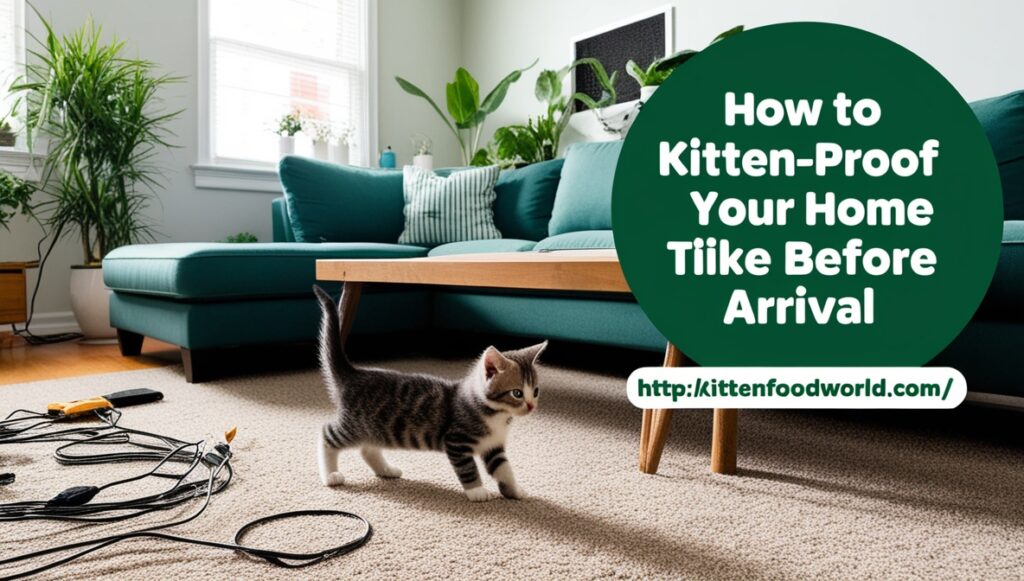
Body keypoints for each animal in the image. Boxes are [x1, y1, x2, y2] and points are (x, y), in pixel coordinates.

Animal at [311, 284, 548, 502]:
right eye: (517, 393)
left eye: (535, 391)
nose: (531, 406)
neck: (496, 414)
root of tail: (353, 372)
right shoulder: (456, 441)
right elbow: (468, 468)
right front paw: (477, 491)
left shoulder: (493, 446)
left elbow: (504, 468)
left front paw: (514, 490)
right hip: (355, 424)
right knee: (326, 434)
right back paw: (330, 474)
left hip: (375, 428)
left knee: (367, 449)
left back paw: (386, 470)